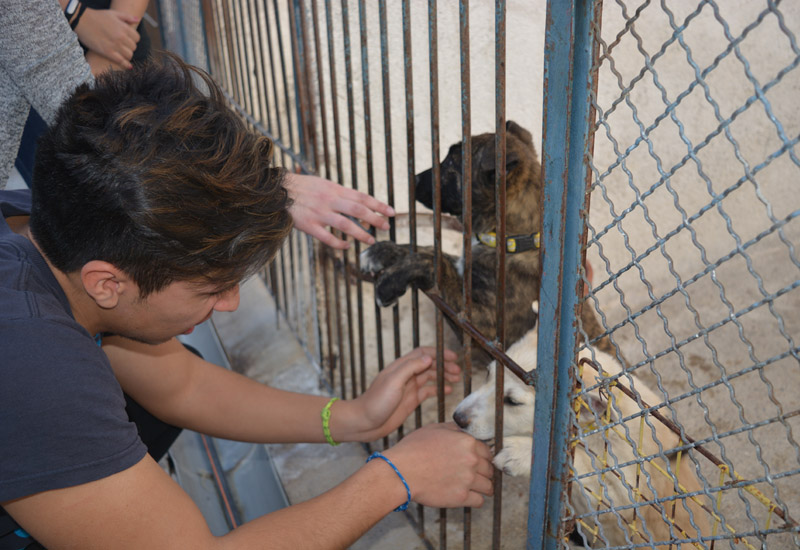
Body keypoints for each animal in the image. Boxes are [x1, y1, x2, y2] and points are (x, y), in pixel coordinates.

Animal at [360, 120, 608, 360]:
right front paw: (382, 251)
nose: (414, 179)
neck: (511, 241)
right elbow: (430, 250)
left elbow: (435, 263)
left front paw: (390, 283)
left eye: (452, 163)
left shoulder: (488, 330)